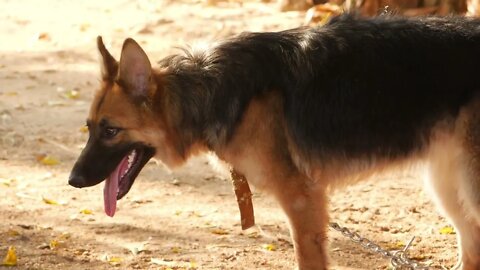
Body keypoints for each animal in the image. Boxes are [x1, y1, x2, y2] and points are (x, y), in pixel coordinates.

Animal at [68, 15, 480, 270]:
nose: (73, 180)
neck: (210, 90)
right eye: (88, 128)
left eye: (110, 131)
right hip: (449, 190)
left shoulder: (303, 202)